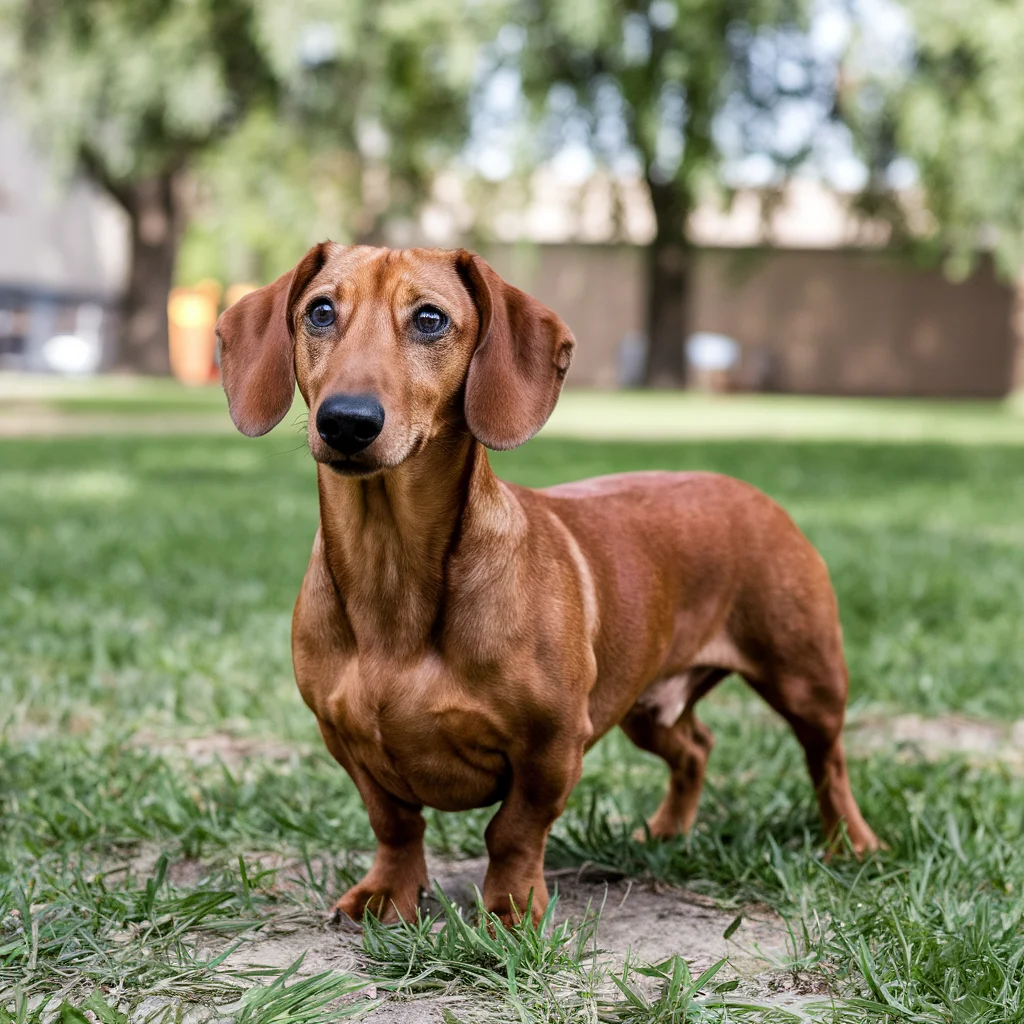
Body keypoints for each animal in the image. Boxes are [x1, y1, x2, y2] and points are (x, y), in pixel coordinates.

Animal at [218, 245, 880, 929]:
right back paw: (667, 831)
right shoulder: (346, 741)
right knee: (696, 748)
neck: (391, 572)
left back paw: (851, 844)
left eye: (430, 319)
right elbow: (395, 824)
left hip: (807, 681)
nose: (346, 422)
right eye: (320, 311)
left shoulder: (552, 745)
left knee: (829, 764)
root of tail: (749, 491)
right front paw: (387, 894)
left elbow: (512, 833)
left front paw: (509, 910)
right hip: (648, 708)